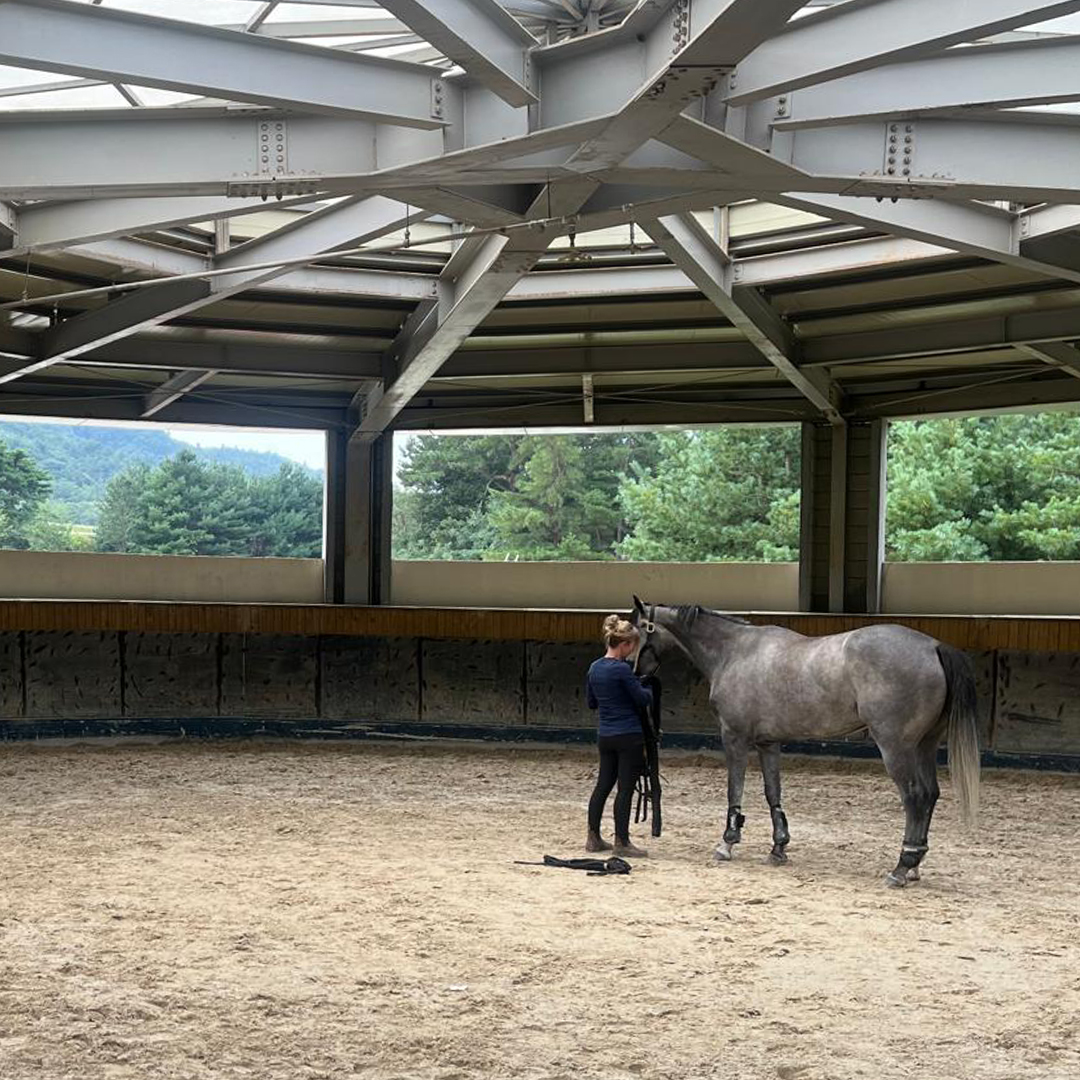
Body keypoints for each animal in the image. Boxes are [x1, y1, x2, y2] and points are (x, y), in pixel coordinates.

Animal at [629, 597, 980, 887]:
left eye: (637, 631)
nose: (635, 674)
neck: (734, 652)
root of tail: (934, 646)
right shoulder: (768, 743)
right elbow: (773, 793)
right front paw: (778, 847)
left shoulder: (735, 738)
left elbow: (734, 791)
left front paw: (727, 842)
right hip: (924, 745)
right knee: (930, 794)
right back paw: (915, 864)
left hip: (896, 747)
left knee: (915, 796)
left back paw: (901, 867)